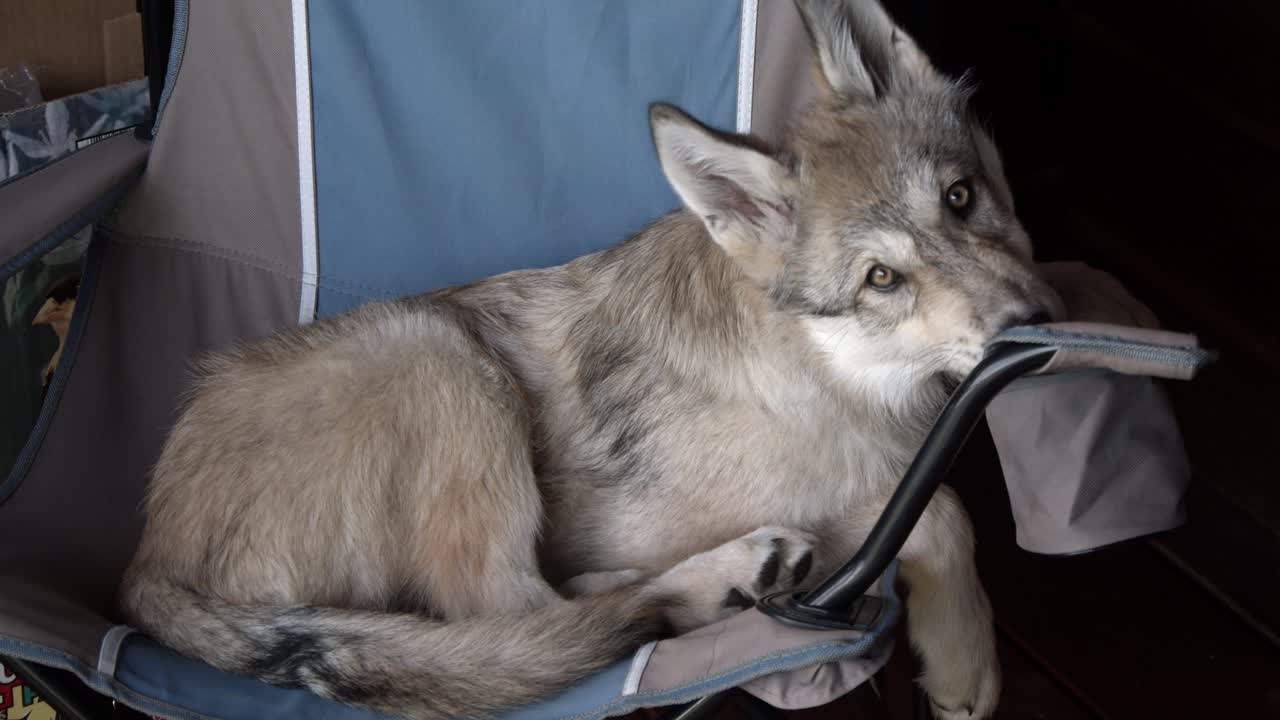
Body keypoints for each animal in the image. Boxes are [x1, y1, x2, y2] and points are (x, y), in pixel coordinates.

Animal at [119, 1, 1063, 718]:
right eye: (881, 278)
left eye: (961, 197)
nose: (1040, 328)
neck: (820, 371)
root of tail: (147, 564)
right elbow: (940, 511)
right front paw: (965, 661)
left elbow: (931, 502)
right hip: (439, 357)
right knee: (514, 615)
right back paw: (712, 580)